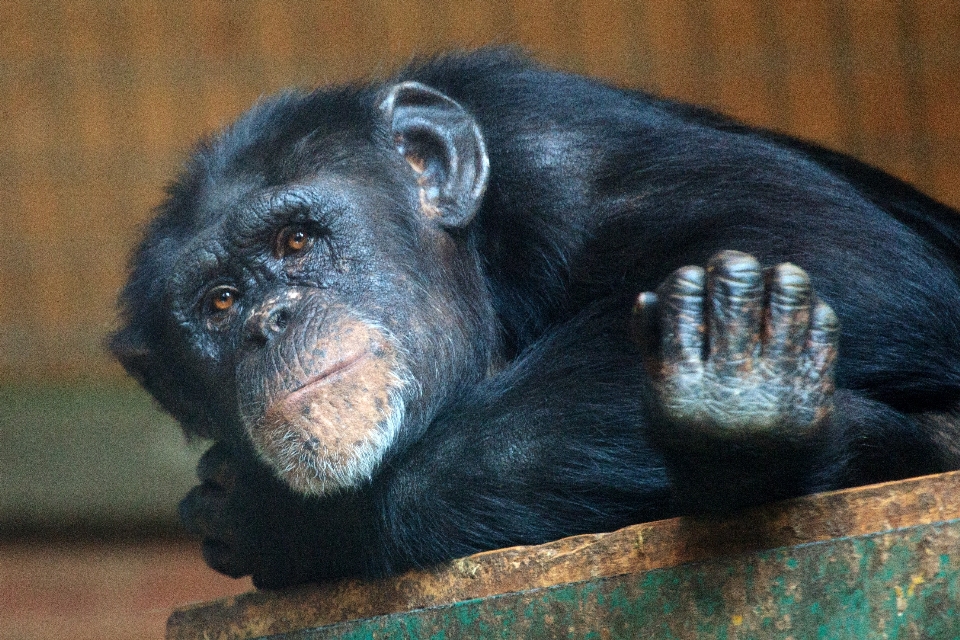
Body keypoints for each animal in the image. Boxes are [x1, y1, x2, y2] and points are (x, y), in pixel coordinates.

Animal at [109, 50, 960, 588]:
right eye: (219, 303)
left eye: (296, 240)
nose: (272, 320)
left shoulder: (560, 149)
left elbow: (840, 261)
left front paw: (283, 521)